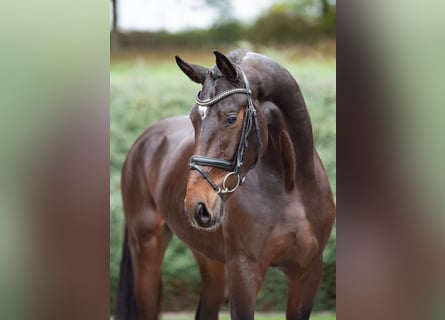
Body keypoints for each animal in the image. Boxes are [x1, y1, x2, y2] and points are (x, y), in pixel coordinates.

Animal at [116, 48, 334, 318]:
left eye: (230, 118)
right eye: (193, 119)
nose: (196, 205)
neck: (290, 187)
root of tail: (145, 140)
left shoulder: (307, 274)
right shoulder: (243, 272)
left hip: (210, 259)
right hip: (147, 248)